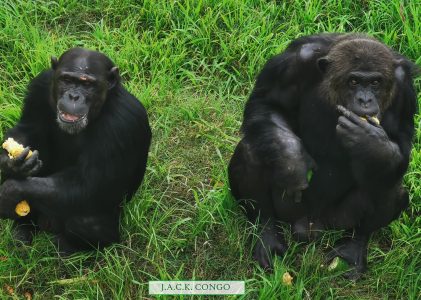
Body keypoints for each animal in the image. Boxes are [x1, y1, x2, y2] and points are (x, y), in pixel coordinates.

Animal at [0, 48, 151, 254]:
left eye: (88, 84)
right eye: (67, 80)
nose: (73, 96)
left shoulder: (123, 122)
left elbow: (89, 185)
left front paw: (11, 191)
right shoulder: (39, 86)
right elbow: (27, 129)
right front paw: (13, 164)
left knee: (85, 221)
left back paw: (67, 247)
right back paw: (23, 229)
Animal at [228, 32, 418, 276]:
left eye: (375, 82)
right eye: (354, 81)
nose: (365, 100)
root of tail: (309, 227)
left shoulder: (404, 88)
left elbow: (401, 145)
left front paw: (371, 141)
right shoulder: (291, 63)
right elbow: (268, 103)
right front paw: (292, 160)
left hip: (338, 221)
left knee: (388, 186)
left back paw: (353, 247)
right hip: (288, 208)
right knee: (250, 152)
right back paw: (267, 236)